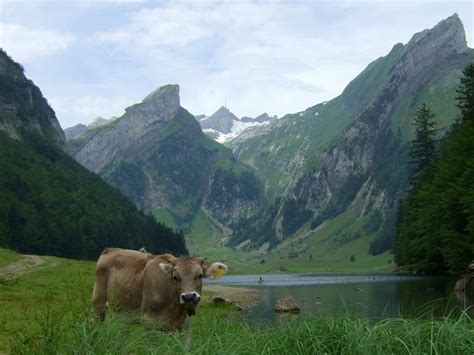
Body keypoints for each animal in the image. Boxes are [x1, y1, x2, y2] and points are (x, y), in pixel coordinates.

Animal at [91, 249, 229, 332]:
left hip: (124, 314)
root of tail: (111, 249)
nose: (189, 297)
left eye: (200, 275)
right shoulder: (149, 321)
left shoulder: (183, 326)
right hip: (98, 302)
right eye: (175, 277)